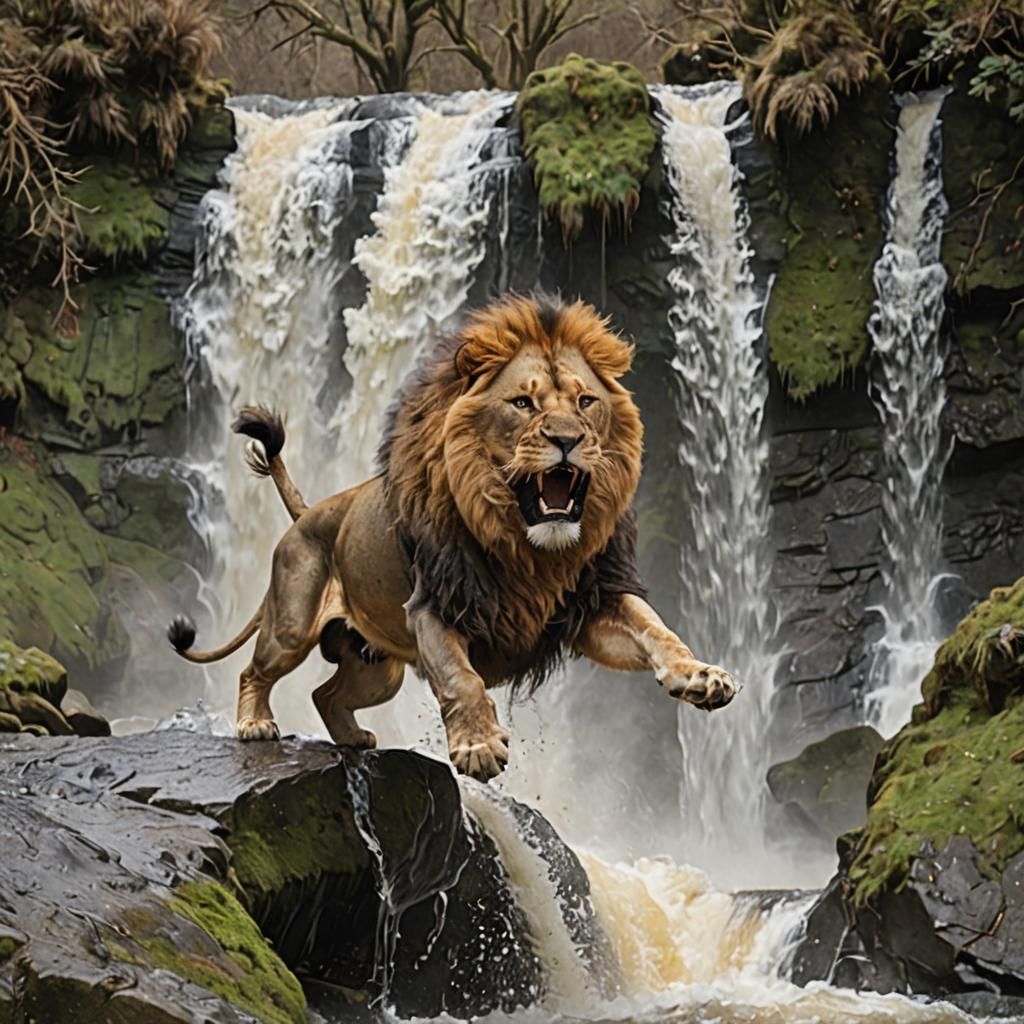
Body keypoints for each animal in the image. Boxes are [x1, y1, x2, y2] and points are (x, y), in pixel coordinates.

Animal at [168, 294, 737, 781]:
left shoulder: (593, 602)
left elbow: (656, 629)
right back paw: (254, 723)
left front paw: (701, 675)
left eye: (585, 401)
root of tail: (309, 514)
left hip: (378, 670)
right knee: (253, 671)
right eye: (523, 403)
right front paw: (478, 745)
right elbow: (460, 677)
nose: (567, 439)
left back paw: (352, 737)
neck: (532, 549)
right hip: (290, 624)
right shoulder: (435, 606)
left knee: (326, 695)